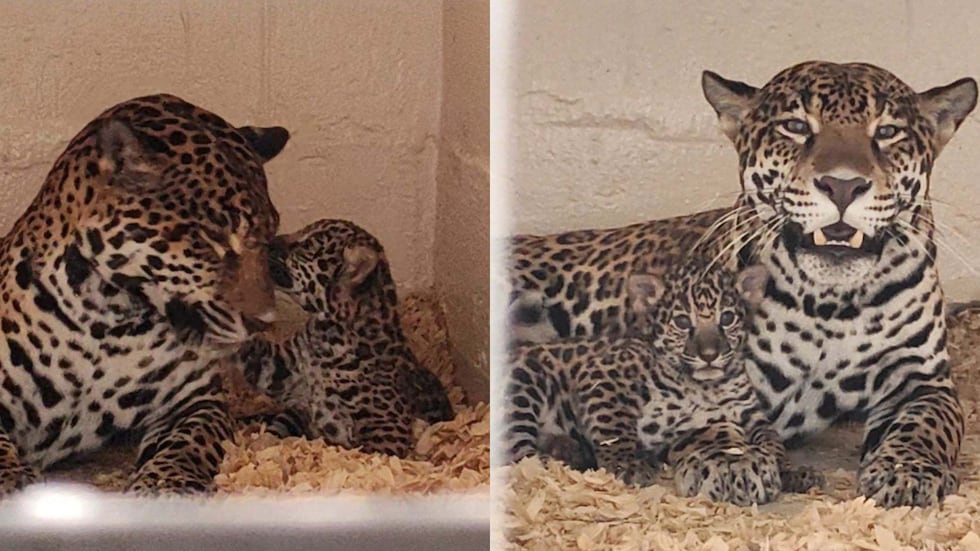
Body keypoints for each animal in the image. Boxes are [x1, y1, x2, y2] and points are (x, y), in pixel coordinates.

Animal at [0, 93, 291, 494]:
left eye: (269, 237)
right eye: (211, 236)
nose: (263, 322)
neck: (108, 320)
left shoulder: (196, 400)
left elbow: (189, 441)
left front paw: (166, 483)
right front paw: (12, 479)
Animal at [235, 219, 454, 458]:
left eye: (307, 245)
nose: (267, 242)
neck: (327, 336)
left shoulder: (387, 426)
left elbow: (366, 454)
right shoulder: (284, 369)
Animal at [503, 259, 821, 505]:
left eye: (727, 318)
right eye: (681, 322)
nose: (709, 355)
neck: (709, 388)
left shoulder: (750, 415)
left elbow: (772, 440)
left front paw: (793, 471)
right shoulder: (602, 374)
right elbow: (613, 425)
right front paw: (627, 464)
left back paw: (569, 450)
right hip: (525, 388)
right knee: (519, 454)